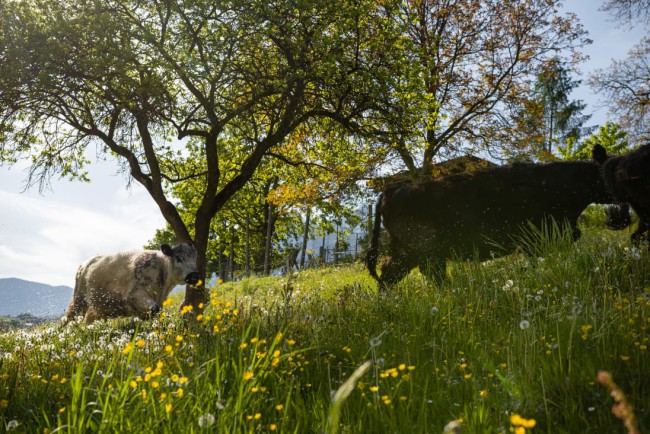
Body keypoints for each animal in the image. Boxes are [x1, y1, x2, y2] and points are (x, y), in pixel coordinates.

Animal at [66, 242, 202, 323]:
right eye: (179, 258)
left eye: (195, 257)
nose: (194, 275)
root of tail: (84, 264)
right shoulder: (135, 295)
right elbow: (155, 309)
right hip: (78, 300)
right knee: (68, 319)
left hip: (95, 308)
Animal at [366, 158, 614, 290]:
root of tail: (394, 189)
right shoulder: (533, 243)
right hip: (426, 252)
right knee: (425, 274)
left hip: (407, 252)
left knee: (389, 275)